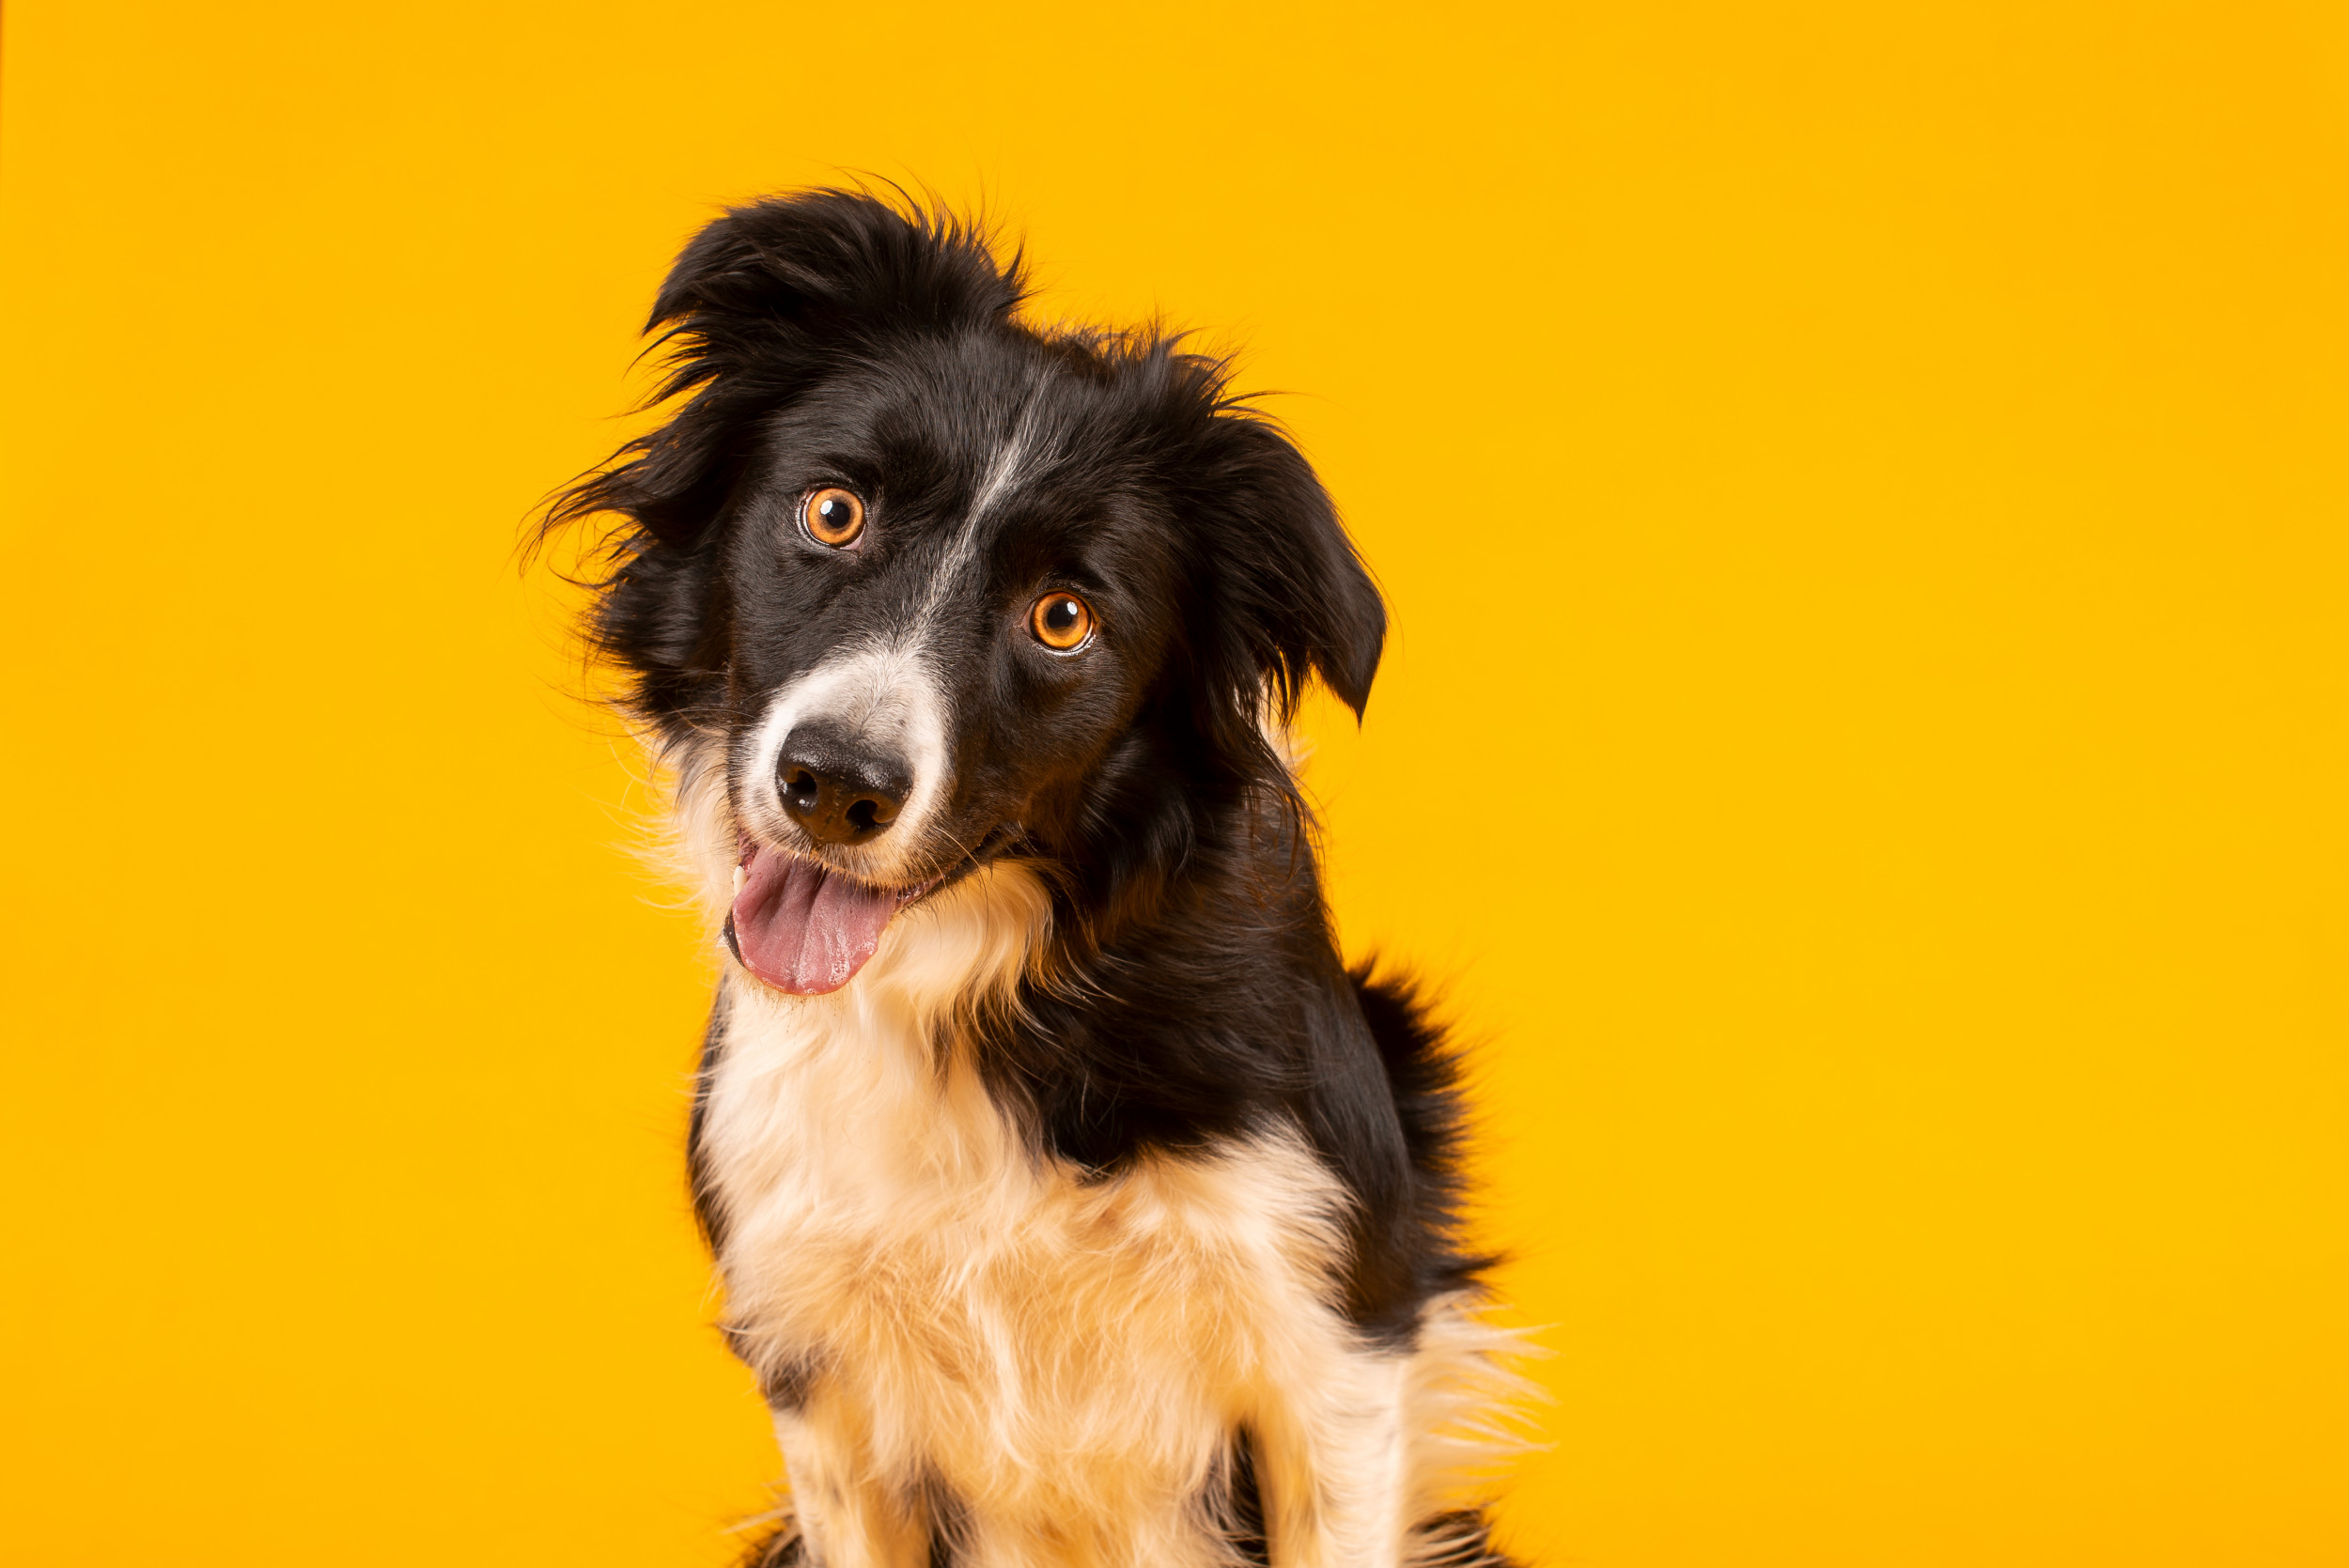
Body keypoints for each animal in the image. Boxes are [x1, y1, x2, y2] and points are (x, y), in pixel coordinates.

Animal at [545, 192, 1522, 1568]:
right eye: (833, 512)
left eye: (1064, 618)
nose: (833, 784)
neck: (988, 974)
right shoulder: (820, 1368)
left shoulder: (1333, 1344)